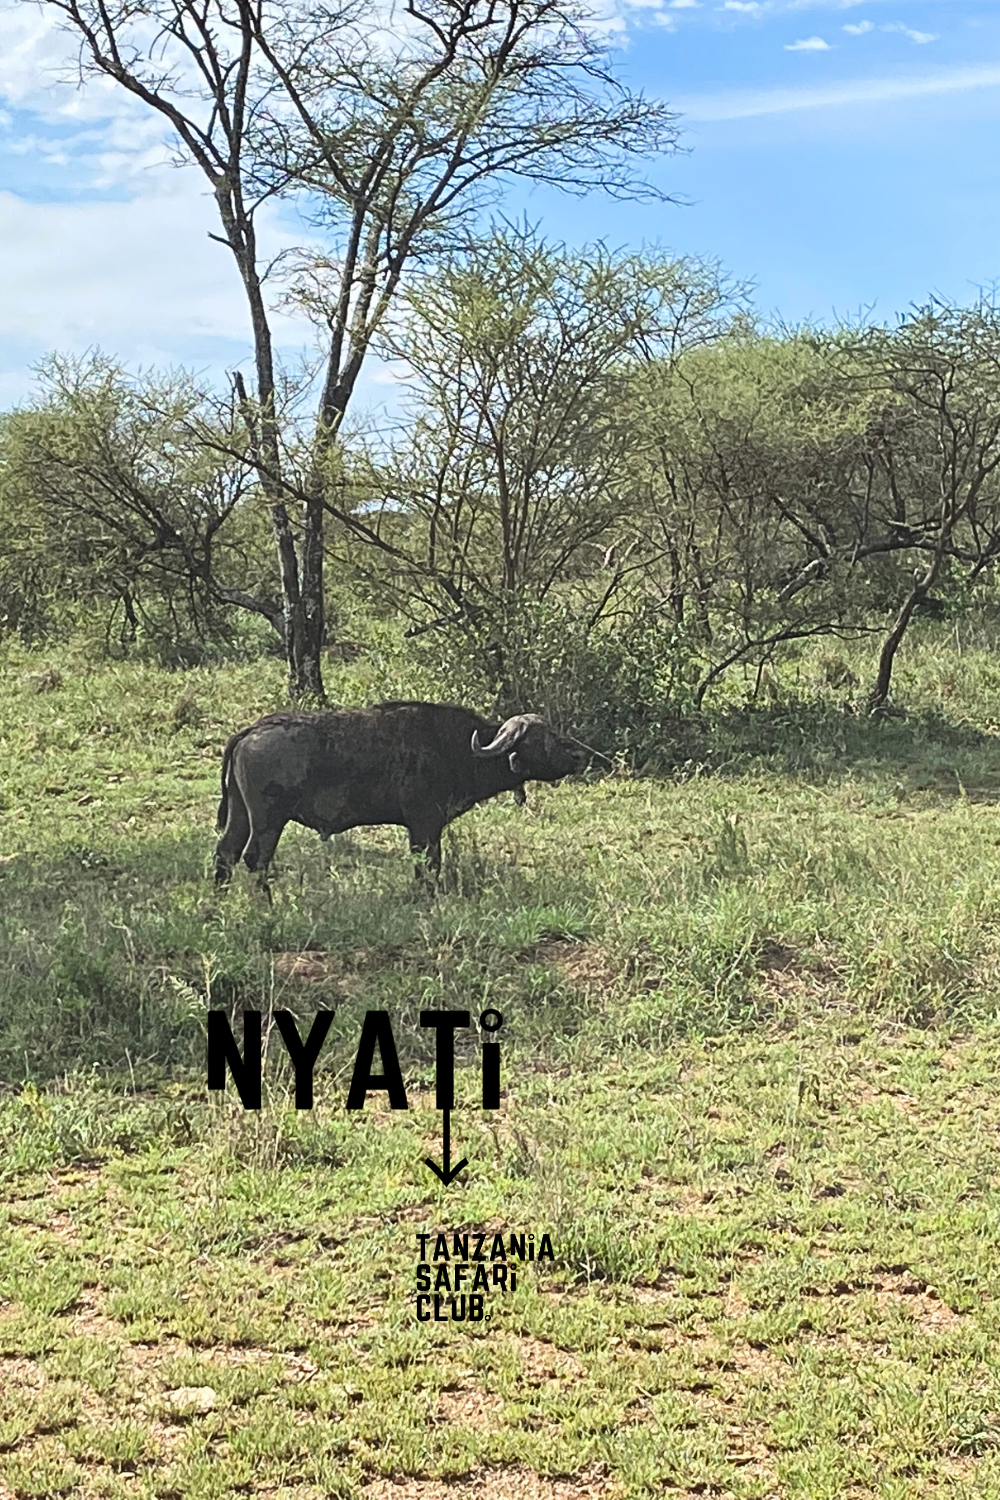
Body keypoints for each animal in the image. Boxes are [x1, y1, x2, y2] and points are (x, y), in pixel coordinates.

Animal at [214, 700, 587, 889]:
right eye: (542, 738)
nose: (579, 755)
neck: (454, 748)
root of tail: (252, 730)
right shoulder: (425, 825)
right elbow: (429, 865)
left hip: (240, 814)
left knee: (226, 853)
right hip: (268, 821)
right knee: (255, 860)